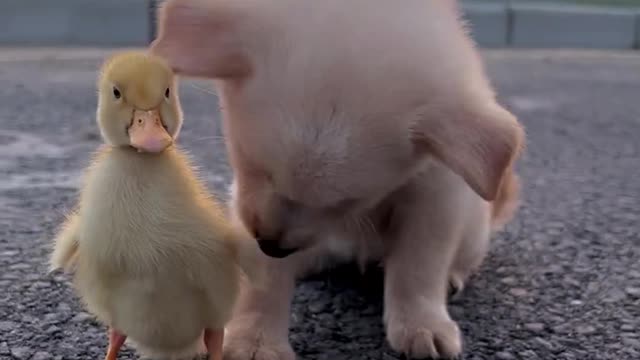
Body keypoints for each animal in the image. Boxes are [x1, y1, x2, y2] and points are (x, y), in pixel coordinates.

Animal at [151, 1, 524, 358]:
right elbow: (264, 282)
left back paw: (452, 277)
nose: (271, 245)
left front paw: (422, 323)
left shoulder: (436, 197)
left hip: (473, 231)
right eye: (251, 164)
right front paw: (254, 340)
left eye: (347, 202)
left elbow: (419, 266)